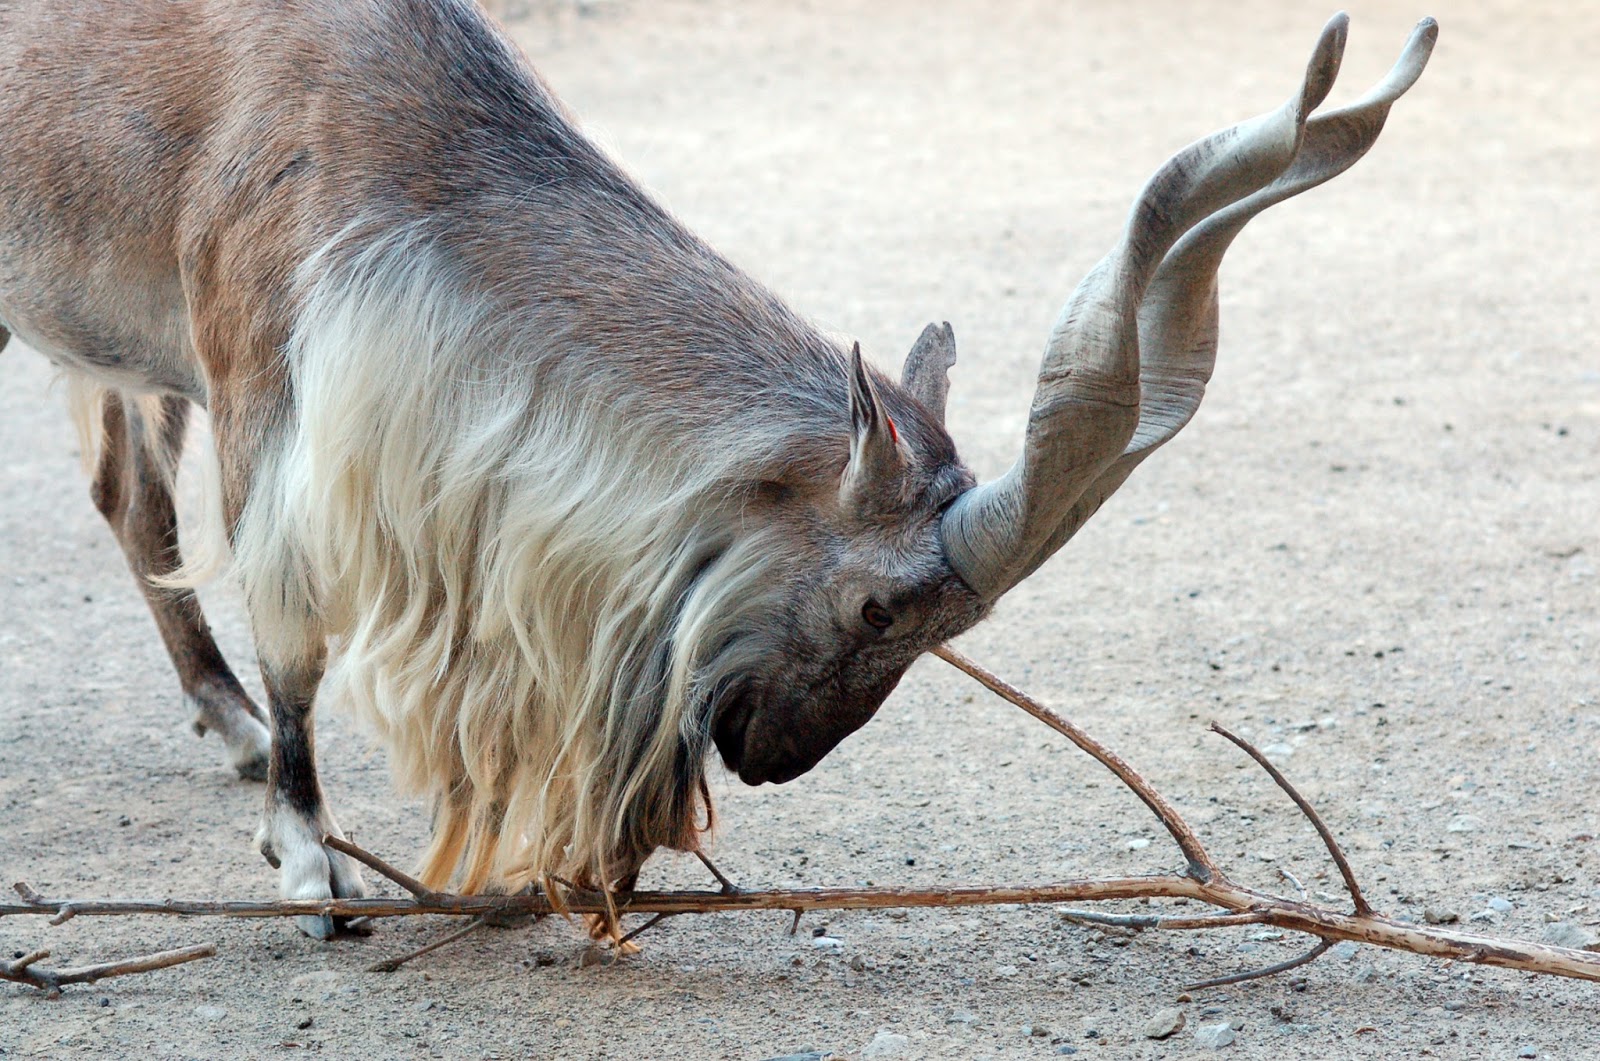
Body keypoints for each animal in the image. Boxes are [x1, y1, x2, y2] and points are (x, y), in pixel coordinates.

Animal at [0, 6, 1433, 940]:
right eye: (877, 603)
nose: (771, 755)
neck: (377, 124)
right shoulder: (259, 386)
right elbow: (295, 635)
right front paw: (309, 868)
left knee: (126, 502)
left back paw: (228, 723)